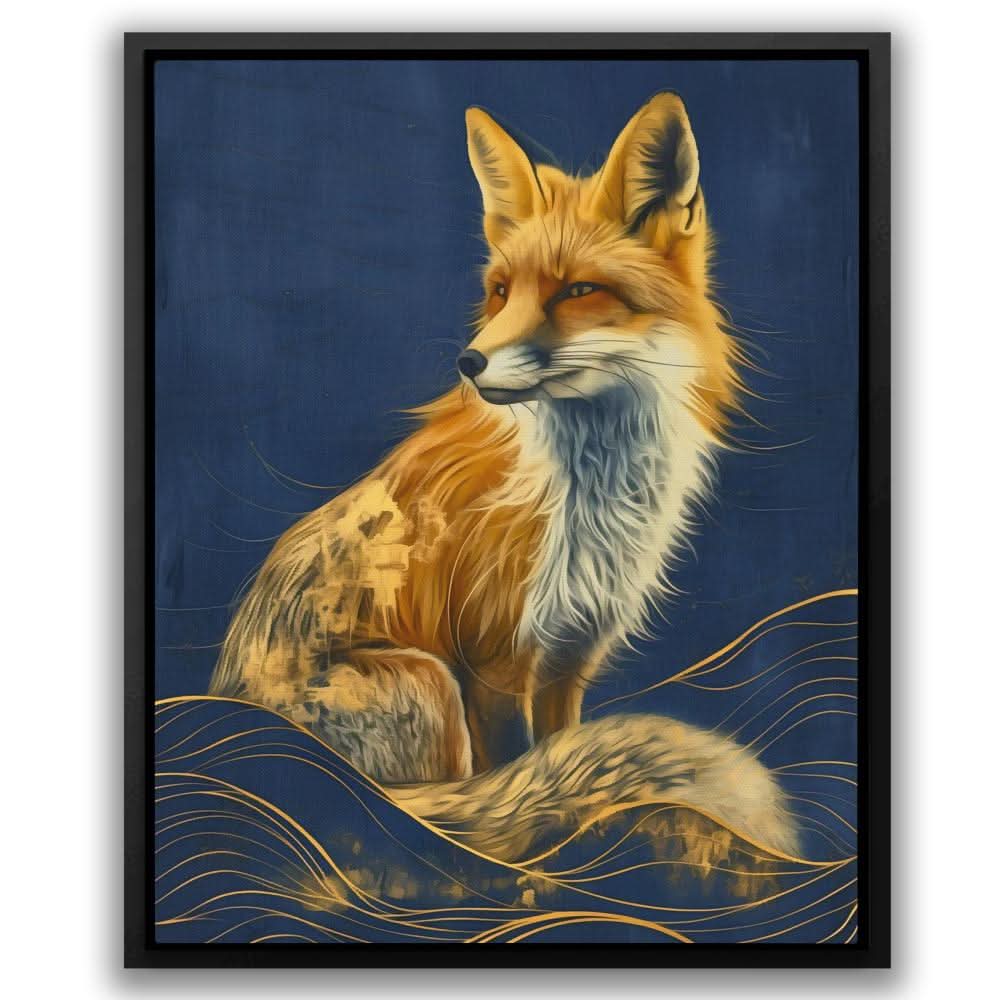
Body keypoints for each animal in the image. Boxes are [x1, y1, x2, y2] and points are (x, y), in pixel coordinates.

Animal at [208, 93, 799, 862]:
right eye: (499, 291)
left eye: (578, 290)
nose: (470, 363)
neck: (587, 494)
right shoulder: (493, 663)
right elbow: (511, 782)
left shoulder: (569, 655)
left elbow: (558, 755)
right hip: (429, 683)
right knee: (432, 810)